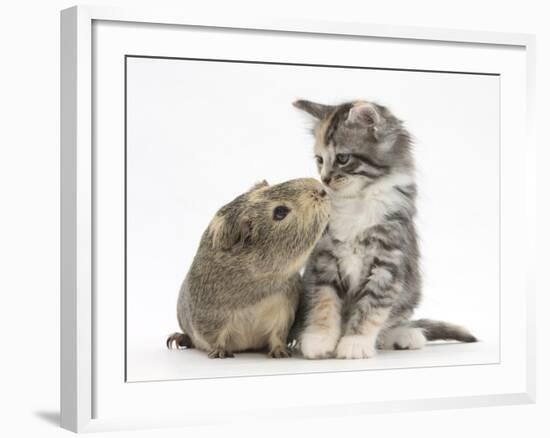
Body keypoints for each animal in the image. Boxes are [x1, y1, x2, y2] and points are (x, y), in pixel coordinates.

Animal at [294, 99, 478, 360]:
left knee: (392, 323)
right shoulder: (324, 259)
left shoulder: (388, 260)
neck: (358, 199)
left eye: (342, 158)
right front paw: (319, 339)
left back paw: (405, 336)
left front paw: (355, 342)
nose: (325, 179)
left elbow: (371, 307)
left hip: (410, 293)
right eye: (319, 160)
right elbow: (324, 301)